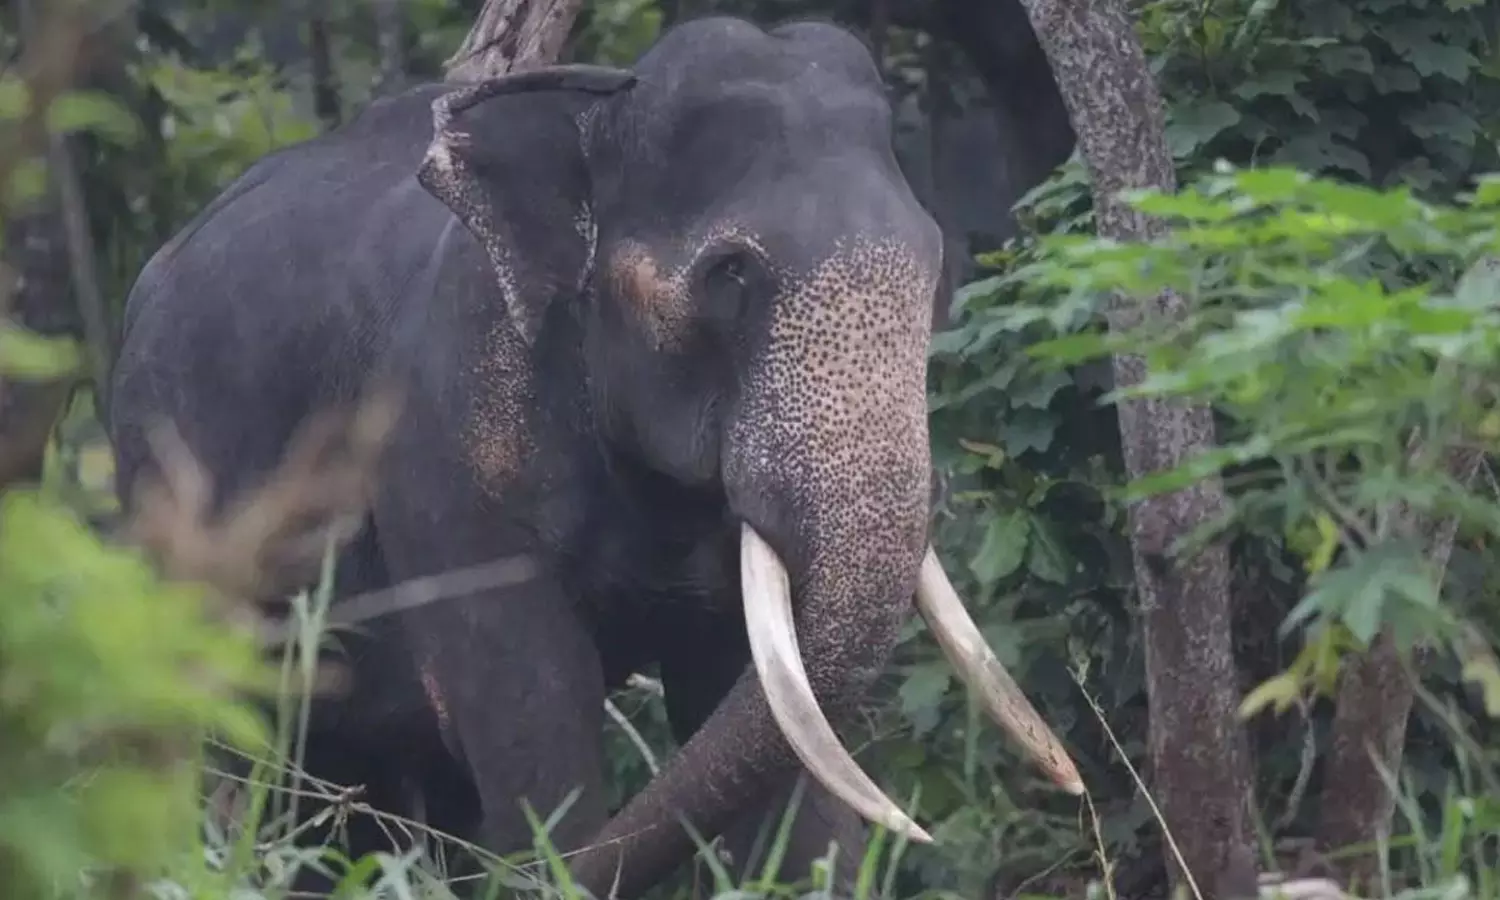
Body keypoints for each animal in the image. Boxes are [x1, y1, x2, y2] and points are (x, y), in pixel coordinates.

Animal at [108, 14, 1092, 900]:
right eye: (731, 276)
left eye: (934, 263)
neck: (589, 111)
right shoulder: (436, 447)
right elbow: (532, 713)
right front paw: (550, 855)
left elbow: (756, 711)